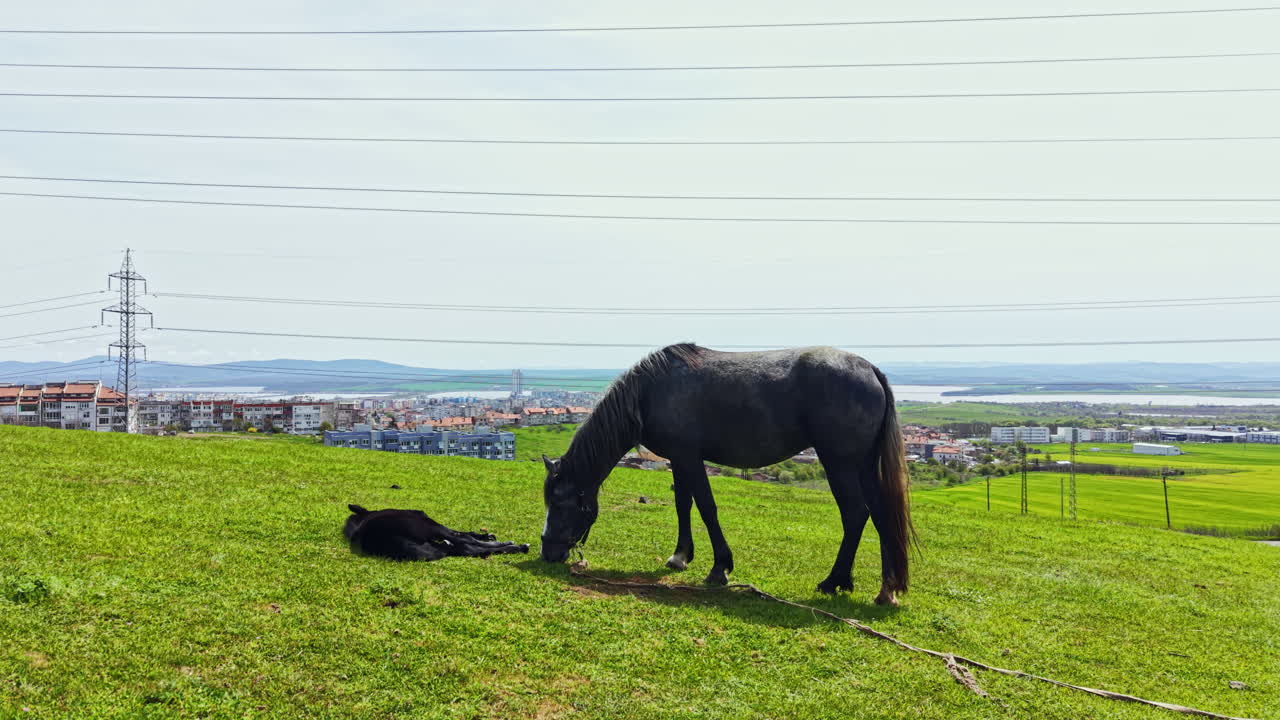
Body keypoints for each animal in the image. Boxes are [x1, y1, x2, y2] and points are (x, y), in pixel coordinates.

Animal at [345, 504, 529, 561]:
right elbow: (464, 534)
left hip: (435, 540)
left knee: (467, 548)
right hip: (429, 525)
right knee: (467, 542)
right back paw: (515, 546)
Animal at [540, 343, 913, 606]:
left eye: (560, 503)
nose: (547, 552)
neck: (650, 392)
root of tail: (870, 370)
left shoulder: (689, 457)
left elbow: (706, 507)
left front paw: (720, 567)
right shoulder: (679, 458)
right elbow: (683, 504)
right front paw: (680, 556)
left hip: (840, 463)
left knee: (855, 515)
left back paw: (833, 581)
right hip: (865, 465)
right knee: (882, 516)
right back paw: (886, 590)